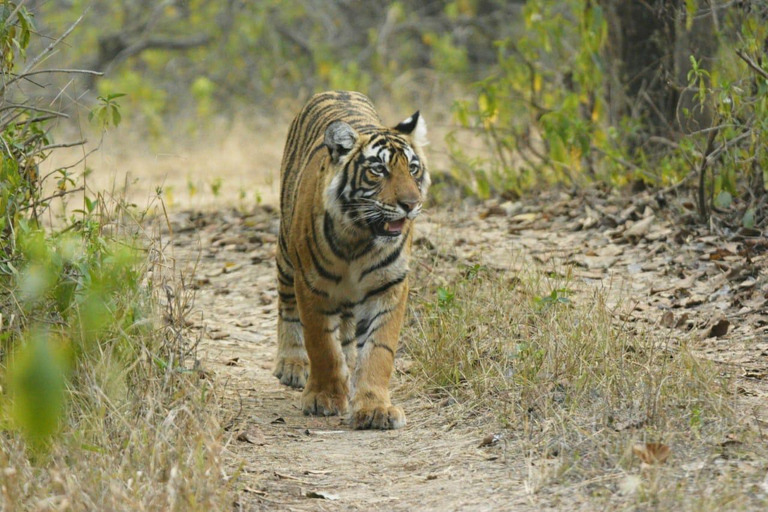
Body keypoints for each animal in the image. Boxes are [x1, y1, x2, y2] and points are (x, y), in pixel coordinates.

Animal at [272, 91, 429, 430]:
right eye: (378, 170)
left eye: (412, 168)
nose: (411, 204)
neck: (359, 239)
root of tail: (336, 91)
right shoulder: (312, 285)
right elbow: (322, 345)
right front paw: (324, 397)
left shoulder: (389, 287)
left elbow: (378, 350)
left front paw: (374, 408)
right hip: (286, 255)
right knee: (287, 307)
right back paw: (292, 364)